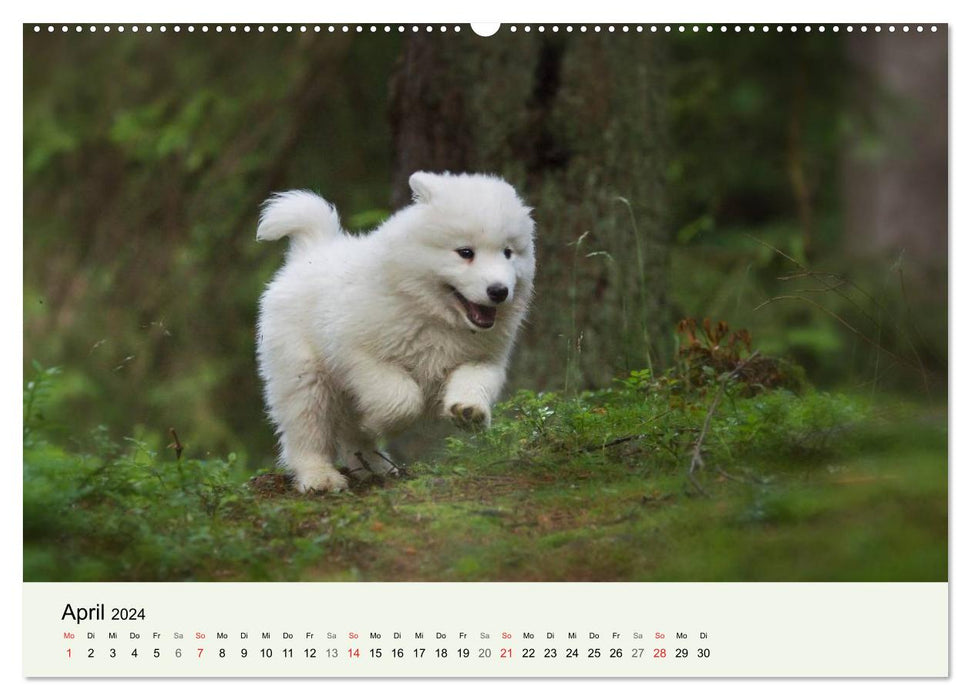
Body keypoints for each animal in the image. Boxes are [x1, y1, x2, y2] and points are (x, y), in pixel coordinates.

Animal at [254, 171, 536, 492]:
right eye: (465, 252)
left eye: (508, 253)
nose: (499, 291)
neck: (434, 315)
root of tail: (311, 251)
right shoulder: (360, 354)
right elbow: (401, 399)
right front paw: (376, 421)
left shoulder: (483, 357)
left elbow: (475, 380)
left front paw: (469, 410)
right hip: (304, 372)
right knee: (307, 427)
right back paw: (319, 476)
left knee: (348, 435)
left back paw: (374, 467)